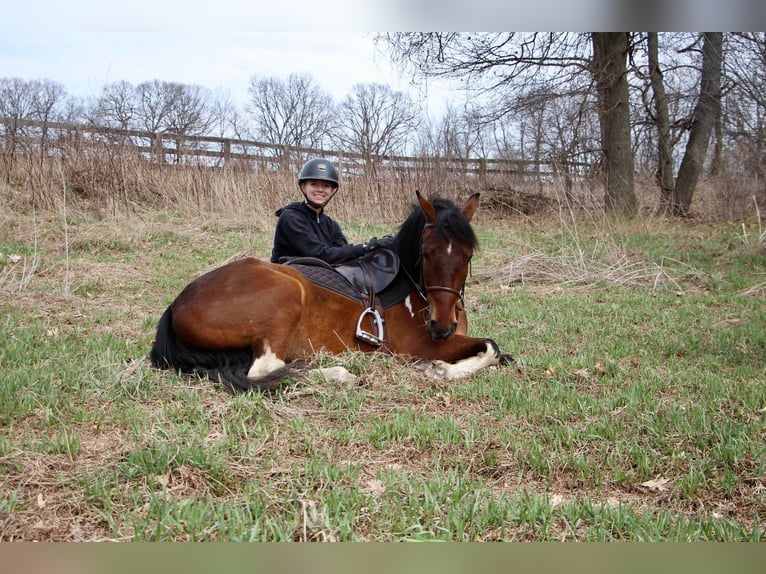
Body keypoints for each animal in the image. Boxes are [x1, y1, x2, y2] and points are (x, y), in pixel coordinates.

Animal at [150, 191, 512, 394]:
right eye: (425, 253)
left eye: (467, 255)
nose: (442, 326)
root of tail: (176, 304)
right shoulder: (418, 345)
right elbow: (492, 347)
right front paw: (438, 369)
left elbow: (499, 354)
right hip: (285, 296)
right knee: (266, 370)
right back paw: (341, 374)